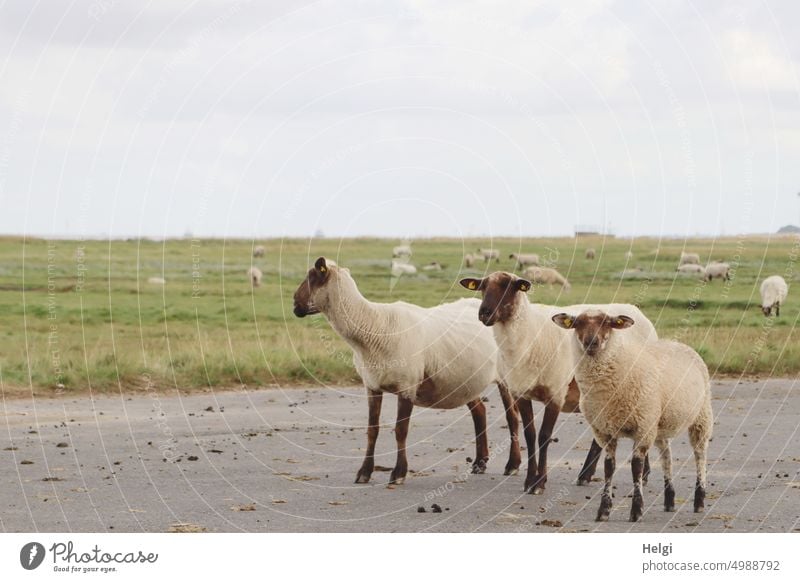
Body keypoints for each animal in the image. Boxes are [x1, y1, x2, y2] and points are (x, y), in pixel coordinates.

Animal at [292, 258, 520, 484]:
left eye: (313, 277)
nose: (295, 304)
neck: (373, 325)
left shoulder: (407, 385)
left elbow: (401, 431)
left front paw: (399, 473)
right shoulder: (372, 385)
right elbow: (372, 430)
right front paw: (364, 472)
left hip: (504, 378)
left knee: (512, 417)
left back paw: (513, 465)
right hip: (466, 380)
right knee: (480, 412)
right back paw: (479, 463)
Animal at [456, 272, 656, 496]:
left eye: (509, 286)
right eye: (482, 287)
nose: (484, 313)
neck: (529, 336)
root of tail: (637, 311)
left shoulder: (556, 394)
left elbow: (544, 436)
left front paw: (540, 483)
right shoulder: (521, 393)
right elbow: (530, 434)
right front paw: (529, 481)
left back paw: (640, 475)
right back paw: (587, 475)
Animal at [552, 310, 712, 524]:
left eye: (607, 323)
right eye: (577, 323)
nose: (591, 342)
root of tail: (678, 343)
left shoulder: (642, 427)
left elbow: (636, 468)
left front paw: (636, 510)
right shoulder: (604, 431)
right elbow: (608, 467)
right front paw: (603, 511)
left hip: (701, 416)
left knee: (700, 454)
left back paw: (699, 501)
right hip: (659, 423)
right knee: (666, 457)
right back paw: (669, 500)